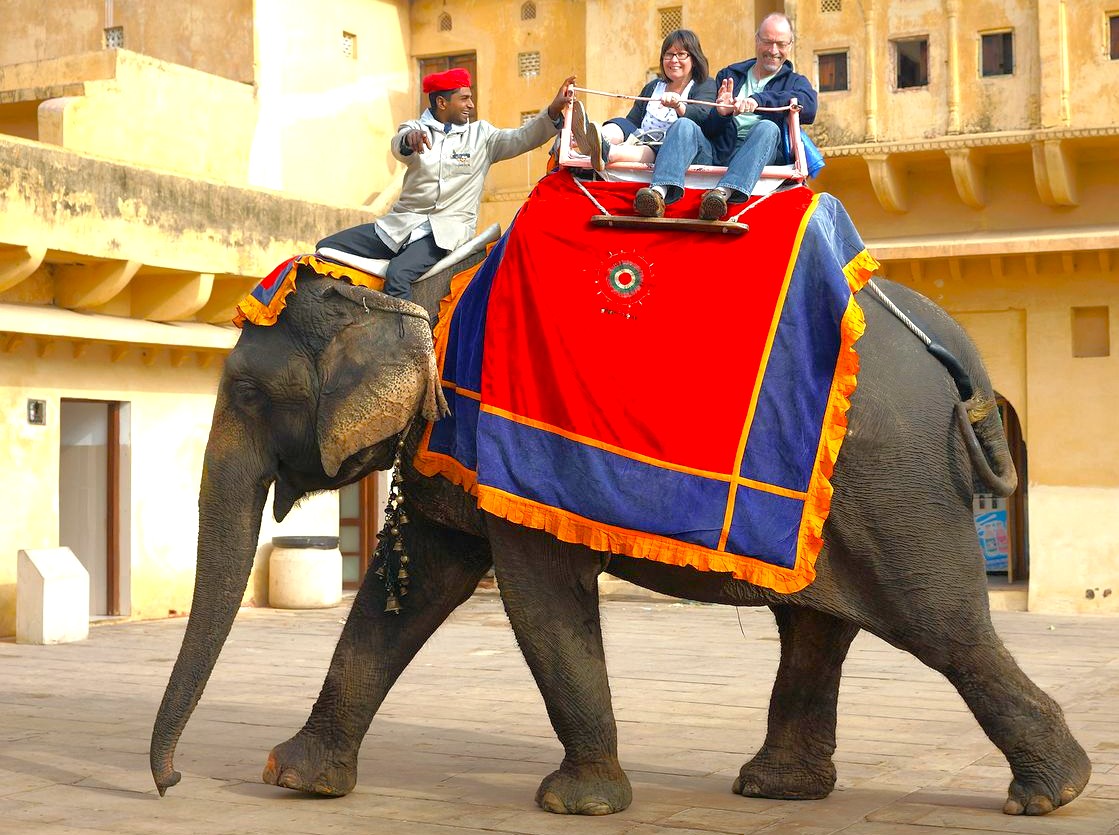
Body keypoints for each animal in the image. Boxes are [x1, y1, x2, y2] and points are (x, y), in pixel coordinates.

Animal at [150, 209, 1090, 819]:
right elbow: (410, 588)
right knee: (816, 626)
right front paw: (295, 780)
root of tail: (955, 349)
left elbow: (538, 596)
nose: (169, 785)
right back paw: (777, 788)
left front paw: (576, 803)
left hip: (898, 479)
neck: (411, 284)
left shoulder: (504, 442)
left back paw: (1051, 792)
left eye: (243, 392)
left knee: (941, 626)